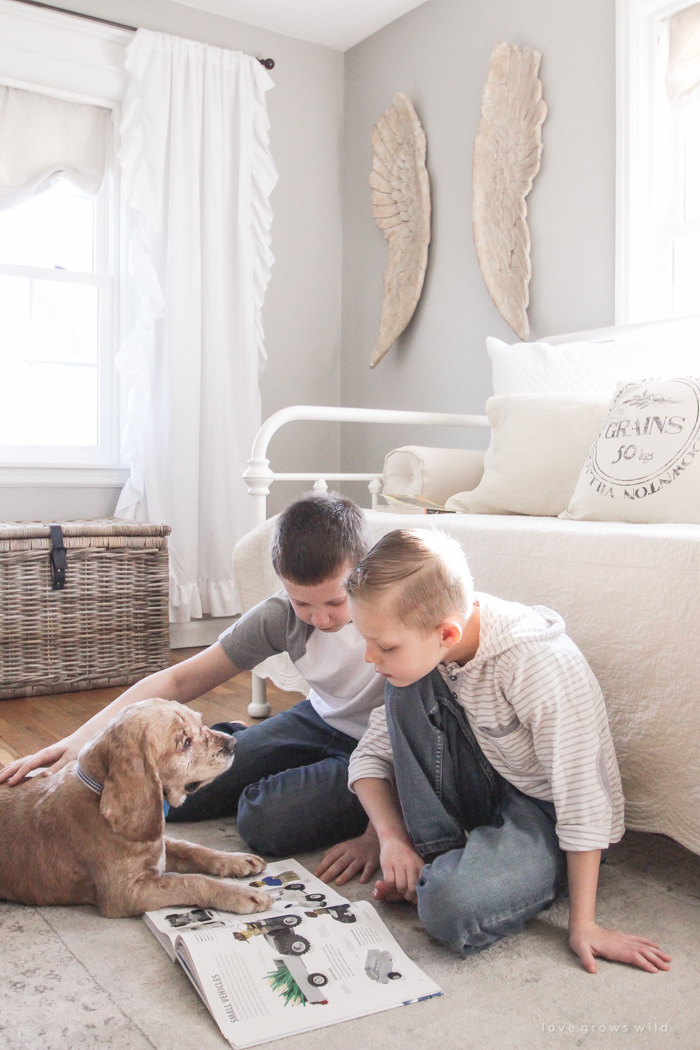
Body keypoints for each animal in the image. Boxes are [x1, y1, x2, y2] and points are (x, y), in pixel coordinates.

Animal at [0, 697, 272, 919]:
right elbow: (191, 881)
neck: (98, 791)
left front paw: (237, 859)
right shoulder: (125, 893)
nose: (234, 743)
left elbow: (190, 847)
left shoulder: (157, 842)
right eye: (185, 742)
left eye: (200, 722)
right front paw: (242, 895)